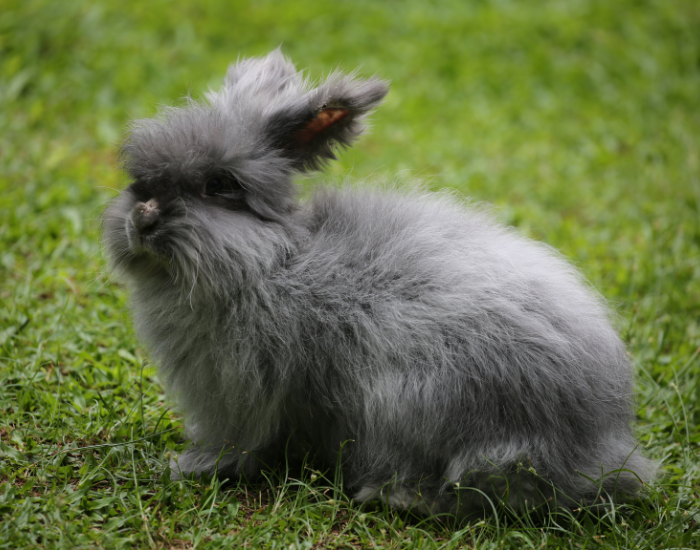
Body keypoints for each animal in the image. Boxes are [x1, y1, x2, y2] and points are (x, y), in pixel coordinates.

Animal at [102, 49, 655, 518]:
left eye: (218, 185)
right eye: (136, 179)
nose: (144, 217)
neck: (275, 259)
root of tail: (596, 452)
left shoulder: (238, 392)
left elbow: (236, 442)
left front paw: (191, 467)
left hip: (410, 405)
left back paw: (393, 495)